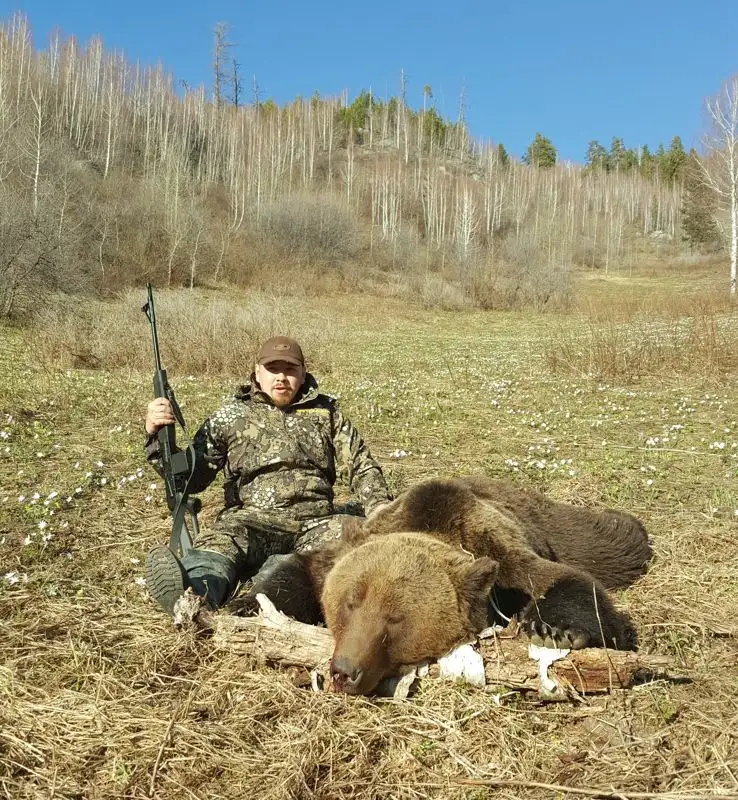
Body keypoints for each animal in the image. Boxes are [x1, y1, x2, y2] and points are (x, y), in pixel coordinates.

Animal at [226, 476, 648, 692]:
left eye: (396, 620)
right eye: (349, 603)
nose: (345, 671)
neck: (434, 524)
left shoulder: (501, 552)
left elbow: (565, 580)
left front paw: (553, 628)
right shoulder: (344, 551)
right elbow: (298, 572)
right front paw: (245, 605)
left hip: (560, 529)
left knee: (612, 544)